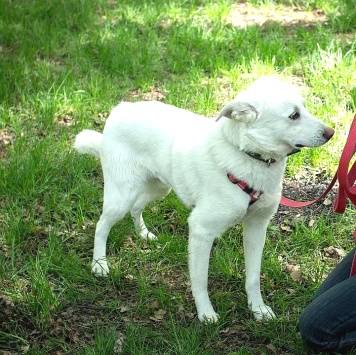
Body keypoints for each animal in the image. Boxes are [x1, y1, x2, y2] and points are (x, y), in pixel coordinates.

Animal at [74, 77, 334, 322]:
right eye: (293, 115)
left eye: (304, 108)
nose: (331, 133)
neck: (246, 156)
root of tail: (121, 108)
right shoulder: (201, 230)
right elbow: (200, 280)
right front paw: (205, 313)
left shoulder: (256, 227)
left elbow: (253, 278)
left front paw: (258, 310)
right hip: (122, 195)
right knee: (101, 226)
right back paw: (99, 264)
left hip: (159, 187)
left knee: (137, 207)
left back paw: (143, 234)